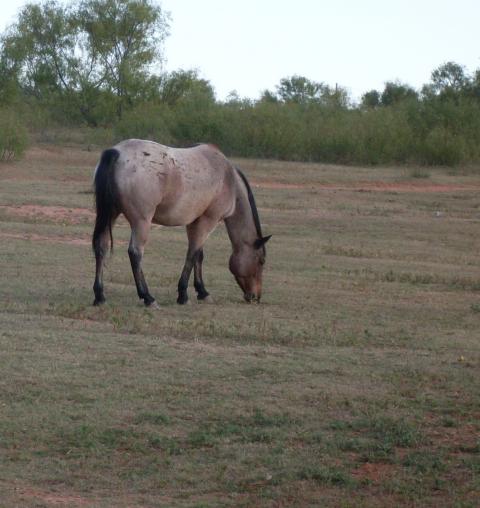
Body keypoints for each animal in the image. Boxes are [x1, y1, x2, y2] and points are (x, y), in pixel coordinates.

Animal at [90, 137, 270, 308]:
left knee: (101, 246)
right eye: (261, 261)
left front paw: (202, 291)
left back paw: (100, 296)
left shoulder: (195, 221)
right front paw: (184, 295)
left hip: (111, 215)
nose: (256, 297)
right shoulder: (208, 220)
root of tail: (117, 152)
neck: (228, 178)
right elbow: (192, 254)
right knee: (135, 253)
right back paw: (148, 297)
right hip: (141, 222)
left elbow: (198, 255)